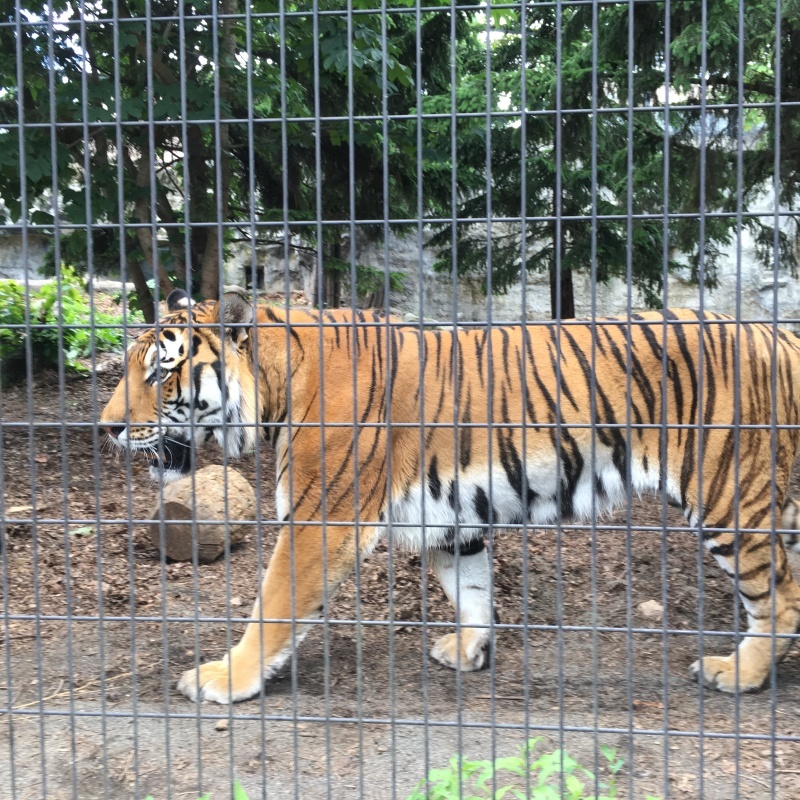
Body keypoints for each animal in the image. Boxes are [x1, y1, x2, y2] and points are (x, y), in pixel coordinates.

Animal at [100, 290, 800, 704]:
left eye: (160, 372)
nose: (105, 428)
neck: (273, 390)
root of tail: (780, 335)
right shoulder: (451, 514)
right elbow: (472, 590)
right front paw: (469, 651)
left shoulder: (321, 521)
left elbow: (271, 606)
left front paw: (225, 679)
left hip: (730, 497)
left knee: (781, 599)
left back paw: (739, 674)